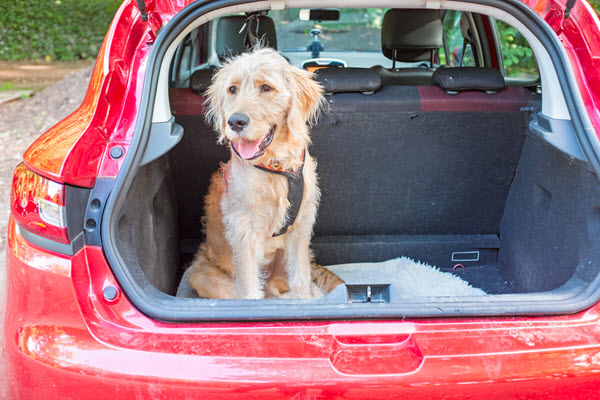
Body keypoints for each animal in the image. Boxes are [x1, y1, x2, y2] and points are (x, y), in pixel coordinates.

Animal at [190, 47, 344, 298]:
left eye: (266, 87)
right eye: (232, 89)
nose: (235, 122)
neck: (276, 167)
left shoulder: (301, 226)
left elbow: (300, 277)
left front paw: (302, 300)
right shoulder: (243, 230)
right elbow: (249, 289)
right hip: (203, 275)